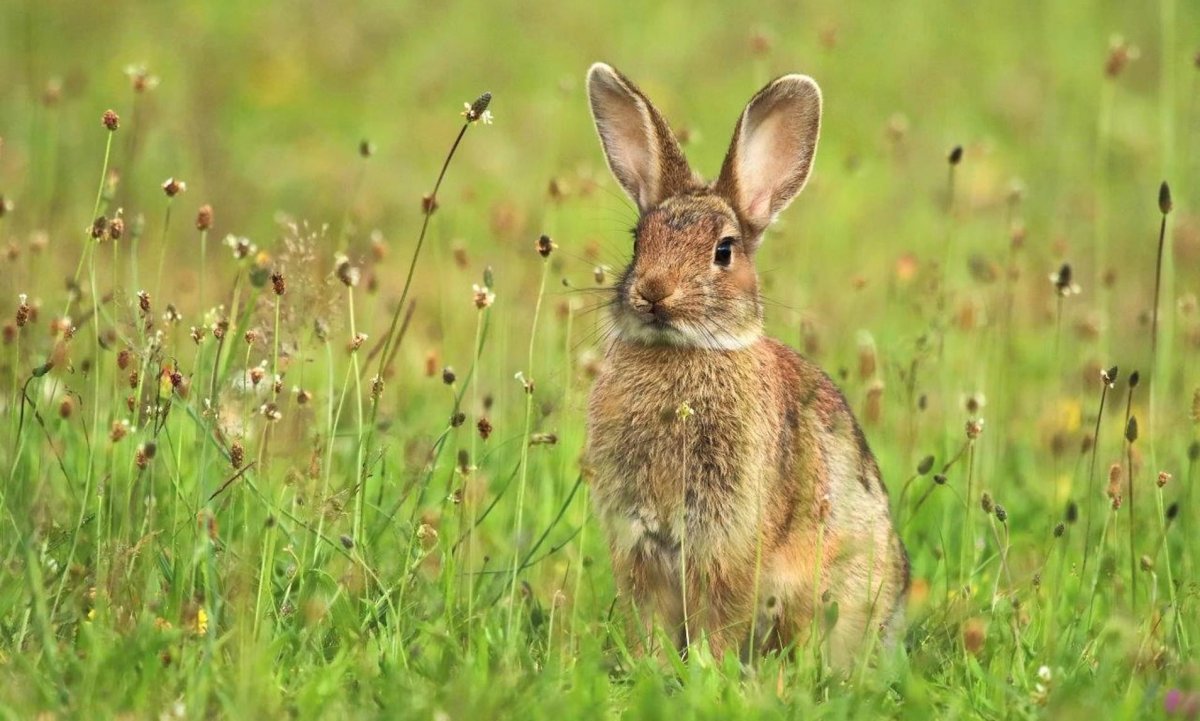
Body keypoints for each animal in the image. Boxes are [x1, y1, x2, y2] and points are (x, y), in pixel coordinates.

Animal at [582, 63, 909, 667]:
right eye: (638, 240)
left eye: (724, 251)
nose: (653, 292)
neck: (685, 352)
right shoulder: (640, 547)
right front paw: (652, 667)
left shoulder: (728, 542)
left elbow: (720, 617)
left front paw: (704, 671)